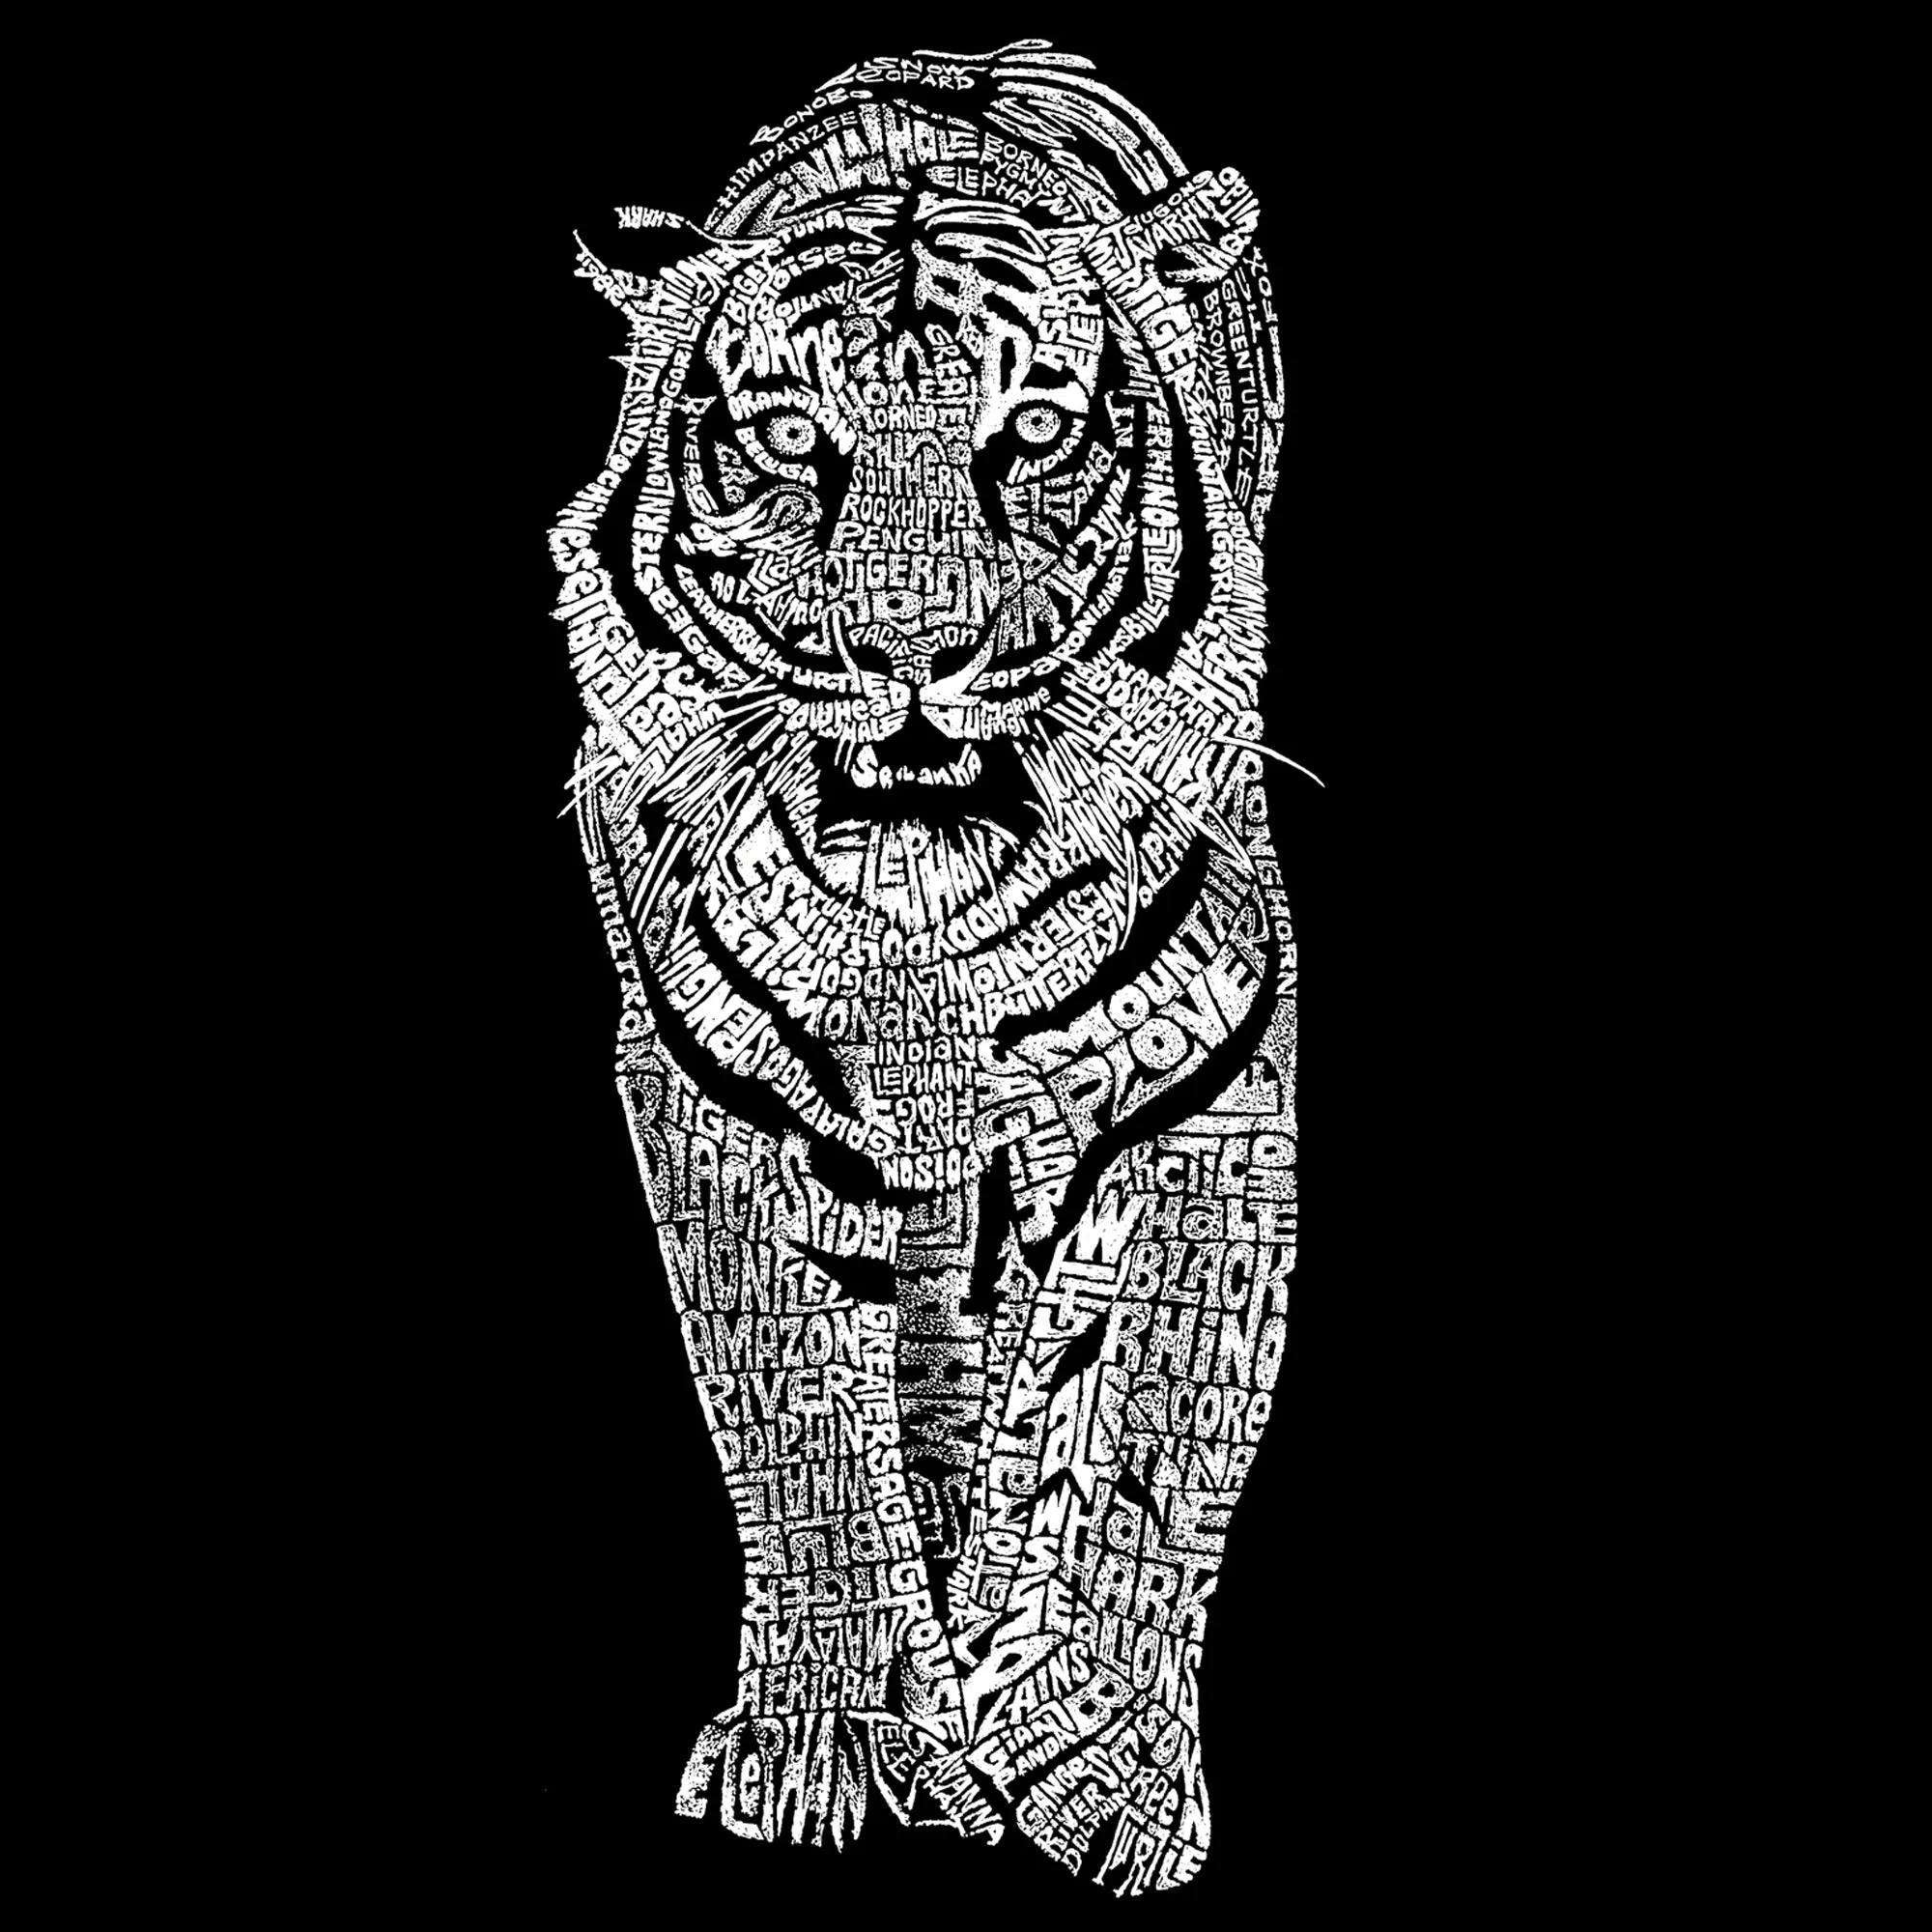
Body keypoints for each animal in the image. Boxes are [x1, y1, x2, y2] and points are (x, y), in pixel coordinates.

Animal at [548, 41, 1298, 1896]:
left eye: (1029, 430)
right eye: (789, 437)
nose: (909, 651)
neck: (920, 918)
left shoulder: (1206, 1089)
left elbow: (1146, 1427)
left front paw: (1102, 1769)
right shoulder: (715, 1101)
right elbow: (802, 1422)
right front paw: (825, 1738)